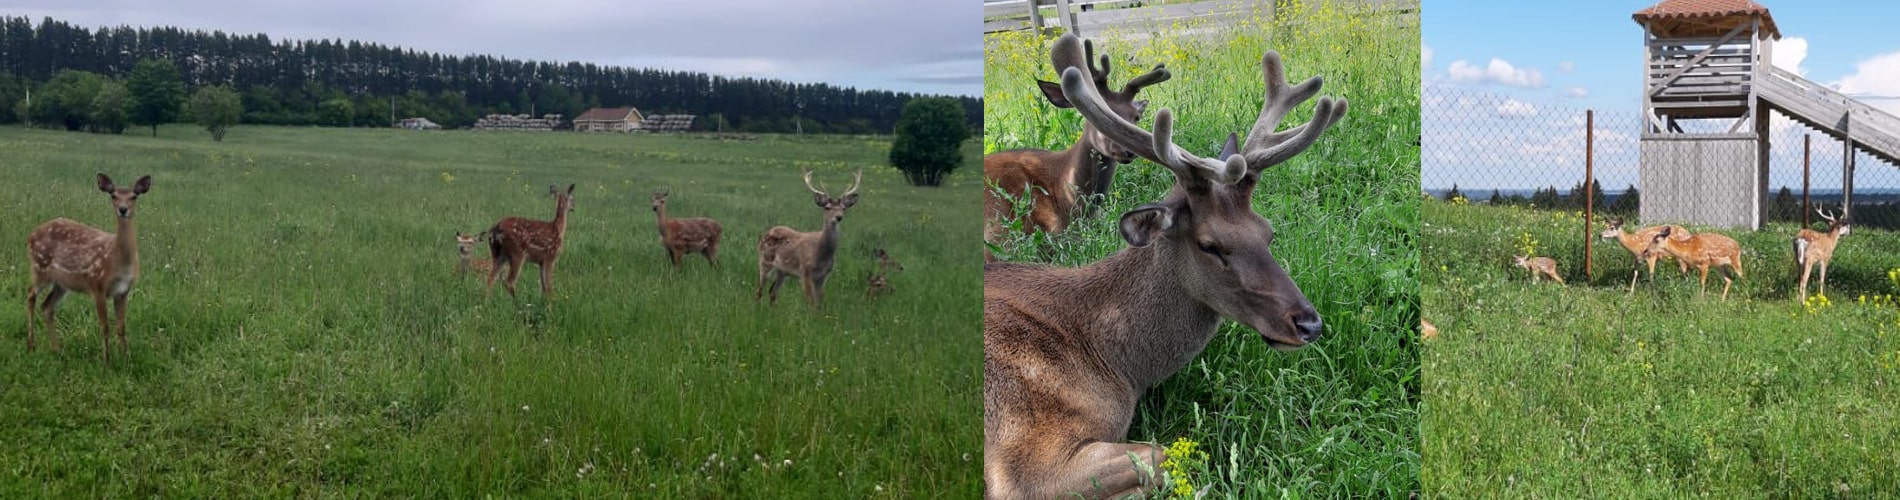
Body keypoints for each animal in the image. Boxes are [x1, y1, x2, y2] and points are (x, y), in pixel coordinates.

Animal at [25, 173, 152, 365]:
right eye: (113, 195)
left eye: (133, 196)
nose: (123, 209)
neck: (117, 260)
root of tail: (31, 235)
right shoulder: (97, 285)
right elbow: (105, 326)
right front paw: (106, 361)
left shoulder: (123, 291)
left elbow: (121, 327)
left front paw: (126, 358)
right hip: (39, 267)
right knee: (31, 295)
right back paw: (31, 344)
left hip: (61, 283)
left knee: (47, 306)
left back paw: (57, 350)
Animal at [756, 170, 862, 307]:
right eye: (827, 207)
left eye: (843, 208)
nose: (839, 217)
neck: (821, 253)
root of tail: (767, 232)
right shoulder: (805, 271)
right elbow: (811, 302)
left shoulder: (823, 276)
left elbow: (820, 302)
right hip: (764, 260)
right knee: (759, 290)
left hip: (782, 270)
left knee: (773, 292)